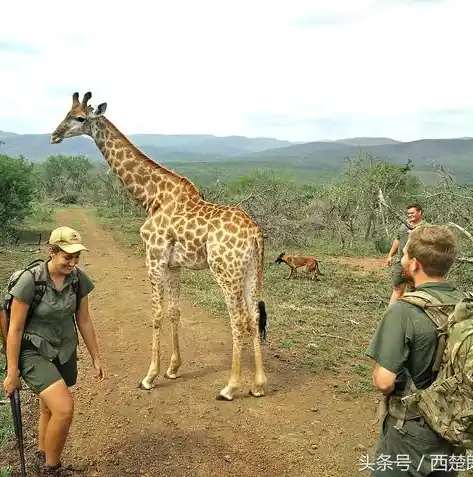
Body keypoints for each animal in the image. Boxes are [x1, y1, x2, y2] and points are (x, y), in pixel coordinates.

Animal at [50, 91, 270, 400]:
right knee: (253, 316)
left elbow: (155, 314)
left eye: (80, 118)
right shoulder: (174, 264)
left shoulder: (153, 256)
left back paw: (230, 387)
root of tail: (254, 233)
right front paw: (173, 369)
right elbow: (175, 312)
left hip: (226, 271)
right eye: (65, 114)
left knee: (238, 319)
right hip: (249, 271)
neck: (152, 197)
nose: (55, 135)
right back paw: (259, 385)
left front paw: (150, 376)